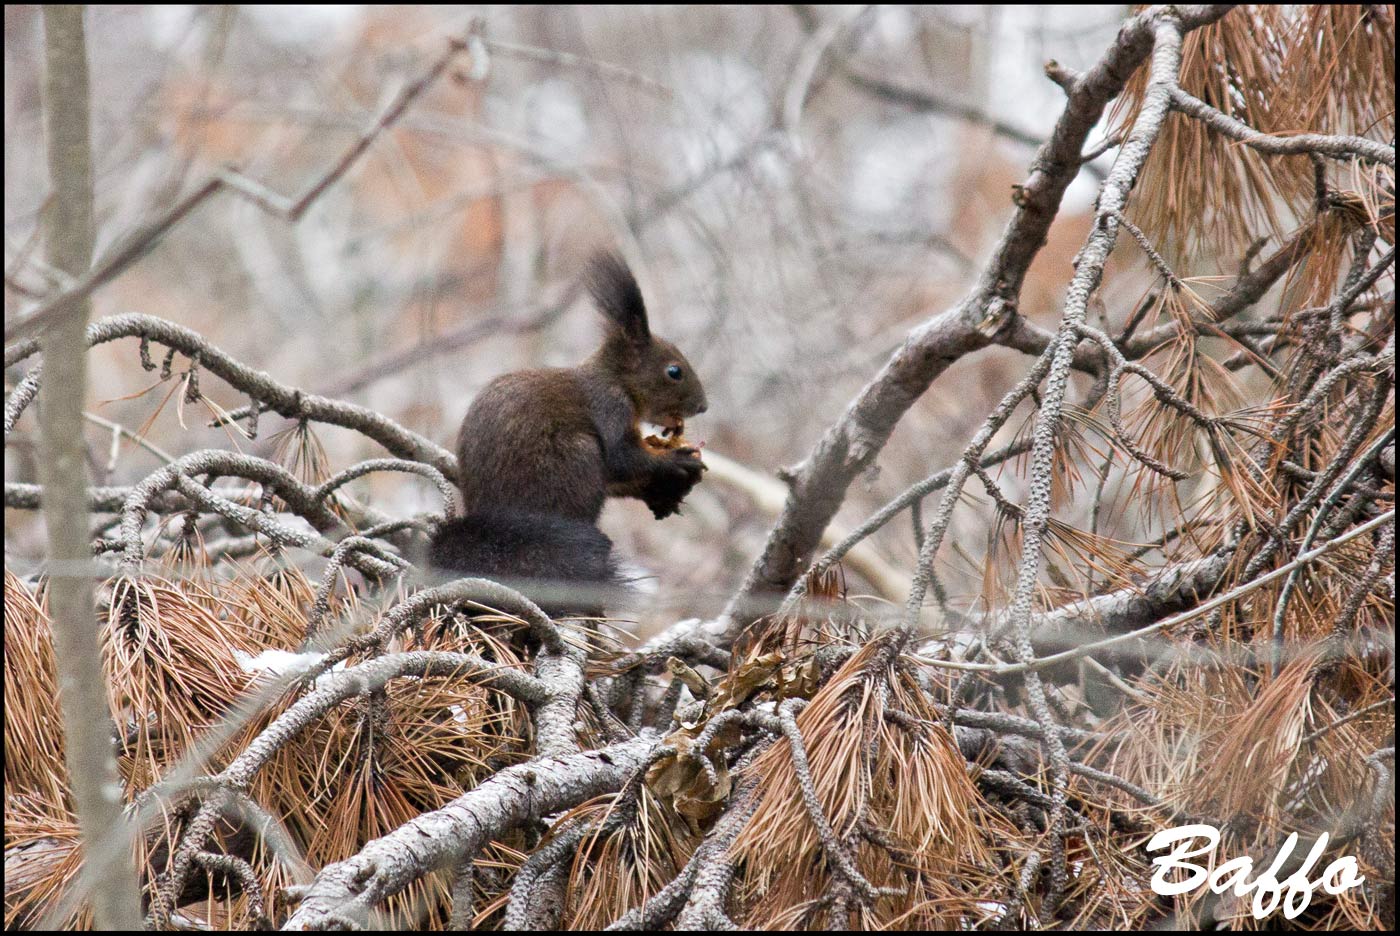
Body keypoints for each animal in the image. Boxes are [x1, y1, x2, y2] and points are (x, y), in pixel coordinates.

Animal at [425, 251, 711, 610]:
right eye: (674, 371)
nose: (703, 406)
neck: (616, 379)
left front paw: (660, 491)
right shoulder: (609, 407)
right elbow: (622, 458)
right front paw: (677, 461)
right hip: (576, 460)